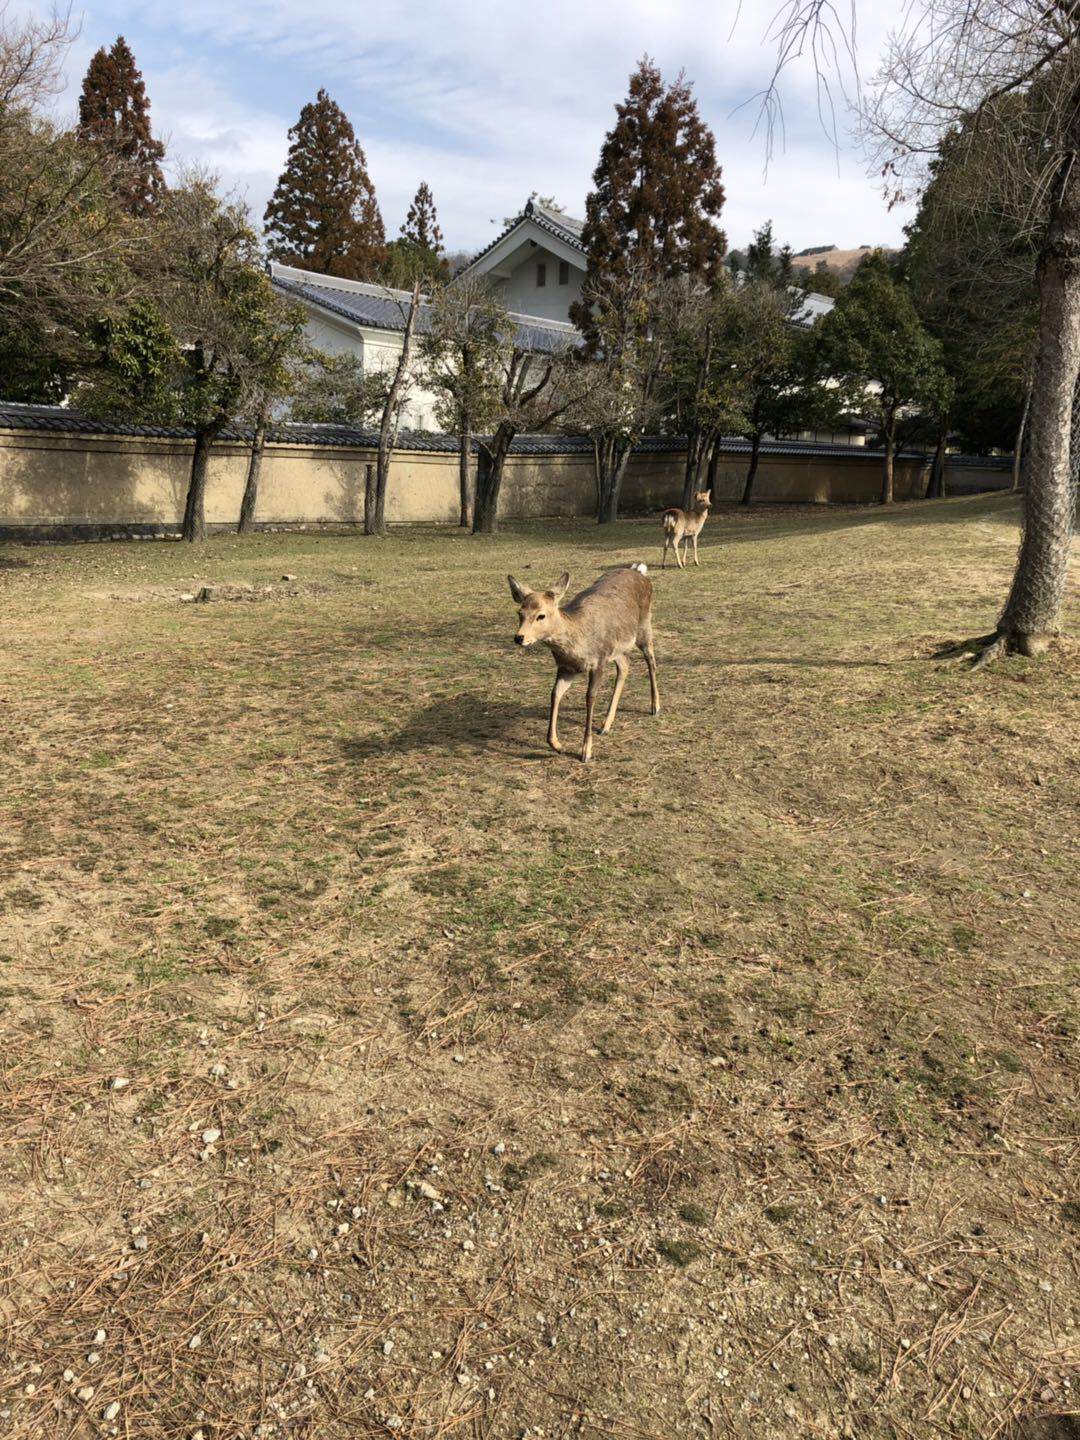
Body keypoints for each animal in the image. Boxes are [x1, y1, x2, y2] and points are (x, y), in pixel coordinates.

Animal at [506, 561, 659, 766]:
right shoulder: (566, 668)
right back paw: (606, 725)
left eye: (541, 615)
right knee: (625, 664)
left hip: (644, 625)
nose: (519, 638)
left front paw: (586, 751)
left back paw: (655, 707)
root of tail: (639, 571)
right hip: (617, 648)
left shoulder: (598, 662)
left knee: (651, 659)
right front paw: (558, 745)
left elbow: (590, 698)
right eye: (519, 612)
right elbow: (555, 694)